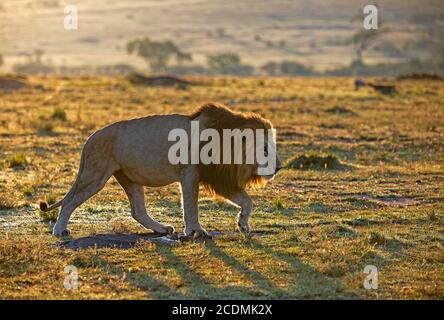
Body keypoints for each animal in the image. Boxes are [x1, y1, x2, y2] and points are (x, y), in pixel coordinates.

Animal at [39, 104, 280, 239]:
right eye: (265, 149)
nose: (278, 167)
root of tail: (90, 138)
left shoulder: (220, 177)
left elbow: (247, 201)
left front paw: (243, 225)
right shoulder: (190, 173)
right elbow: (190, 206)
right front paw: (196, 231)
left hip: (129, 178)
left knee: (138, 211)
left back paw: (162, 229)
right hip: (95, 174)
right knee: (70, 201)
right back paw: (59, 231)